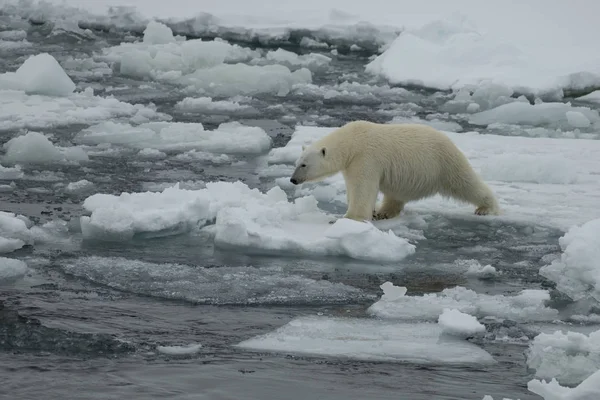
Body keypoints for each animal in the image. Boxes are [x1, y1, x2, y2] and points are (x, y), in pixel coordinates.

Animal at [288, 121, 500, 222]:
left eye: (304, 165)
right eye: (296, 162)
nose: (293, 180)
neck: (352, 142)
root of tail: (448, 140)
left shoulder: (365, 157)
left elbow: (362, 188)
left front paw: (350, 217)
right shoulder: (352, 164)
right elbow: (353, 187)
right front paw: (369, 212)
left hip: (444, 163)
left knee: (466, 183)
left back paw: (486, 208)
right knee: (395, 194)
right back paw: (383, 212)